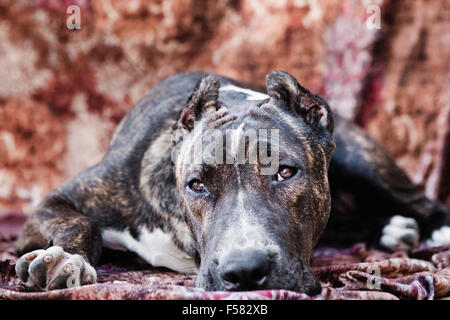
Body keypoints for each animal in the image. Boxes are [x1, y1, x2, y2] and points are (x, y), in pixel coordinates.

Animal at [14, 70, 450, 296]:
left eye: (285, 172)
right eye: (196, 184)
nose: (244, 271)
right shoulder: (58, 199)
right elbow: (80, 223)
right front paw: (65, 260)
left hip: (361, 160)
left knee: (419, 200)